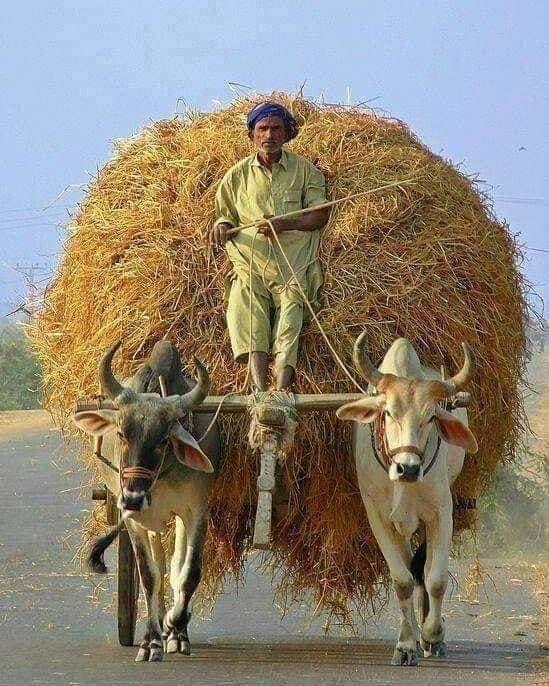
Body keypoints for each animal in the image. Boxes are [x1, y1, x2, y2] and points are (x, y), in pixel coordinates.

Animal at [73, 340, 221, 663]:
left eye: (164, 440)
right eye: (120, 434)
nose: (132, 498)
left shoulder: (196, 510)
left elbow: (188, 572)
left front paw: (174, 625)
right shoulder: (135, 522)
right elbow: (150, 575)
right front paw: (150, 641)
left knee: (175, 566)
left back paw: (177, 632)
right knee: (161, 567)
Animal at [336, 333, 478, 666]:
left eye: (431, 417)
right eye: (387, 412)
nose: (408, 468)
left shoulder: (442, 513)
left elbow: (436, 579)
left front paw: (432, 636)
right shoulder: (378, 517)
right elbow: (401, 580)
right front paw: (405, 644)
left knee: (422, 573)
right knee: (410, 574)